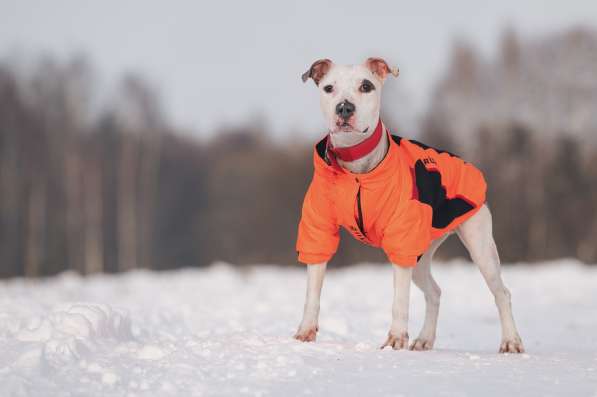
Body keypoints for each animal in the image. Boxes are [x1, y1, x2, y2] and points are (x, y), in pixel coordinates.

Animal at [292, 57, 520, 352]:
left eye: (366, 86)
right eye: (329, 88)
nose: (344, 107)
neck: (358, 169)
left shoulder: (402, 239)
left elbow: (399, 299)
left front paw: (396, 338)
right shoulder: (318, 228)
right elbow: (313, 289)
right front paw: (305, 331)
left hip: (479, 244)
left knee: (501, 292)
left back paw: (511, 341)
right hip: (421, 256)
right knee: (434, 291)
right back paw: (424, 340)